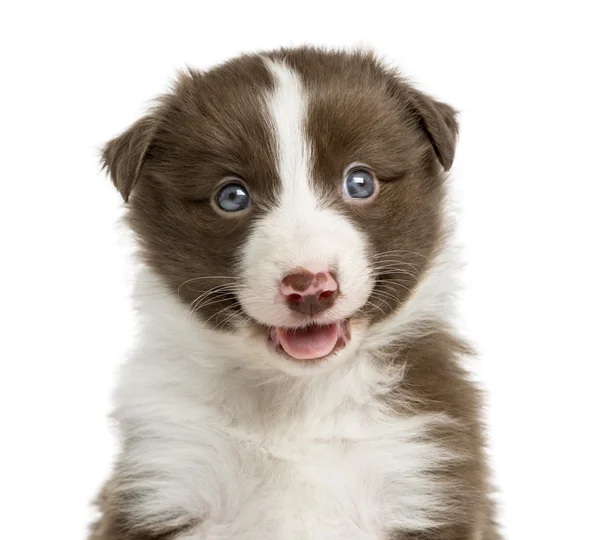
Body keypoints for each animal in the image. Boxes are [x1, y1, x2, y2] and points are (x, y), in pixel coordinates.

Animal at [89, 46, 500, 540]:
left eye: (360, 182)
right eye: (231, 196)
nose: (310, 286)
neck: (297, 399)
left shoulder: (421, 469)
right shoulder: (166, 473)